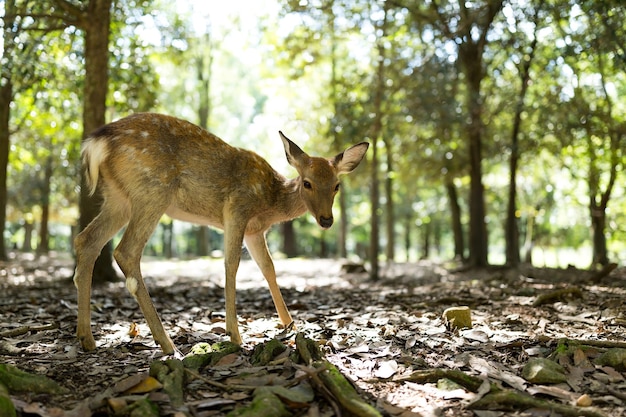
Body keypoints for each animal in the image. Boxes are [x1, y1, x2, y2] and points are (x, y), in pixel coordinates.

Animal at [73, 112, 368, 352]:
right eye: (307, 183)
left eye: (337, 185)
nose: (326, 220)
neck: (270, 201)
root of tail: (97, 142)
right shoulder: (237, 208)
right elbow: (231, 263)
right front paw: (235, 334)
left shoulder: (254, 231)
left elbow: (268, 268)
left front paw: (290, 325)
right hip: (152, 190)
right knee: (126, 251)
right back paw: (167, 344)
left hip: (118, 197)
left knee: (86, 240)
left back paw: (87, 338)